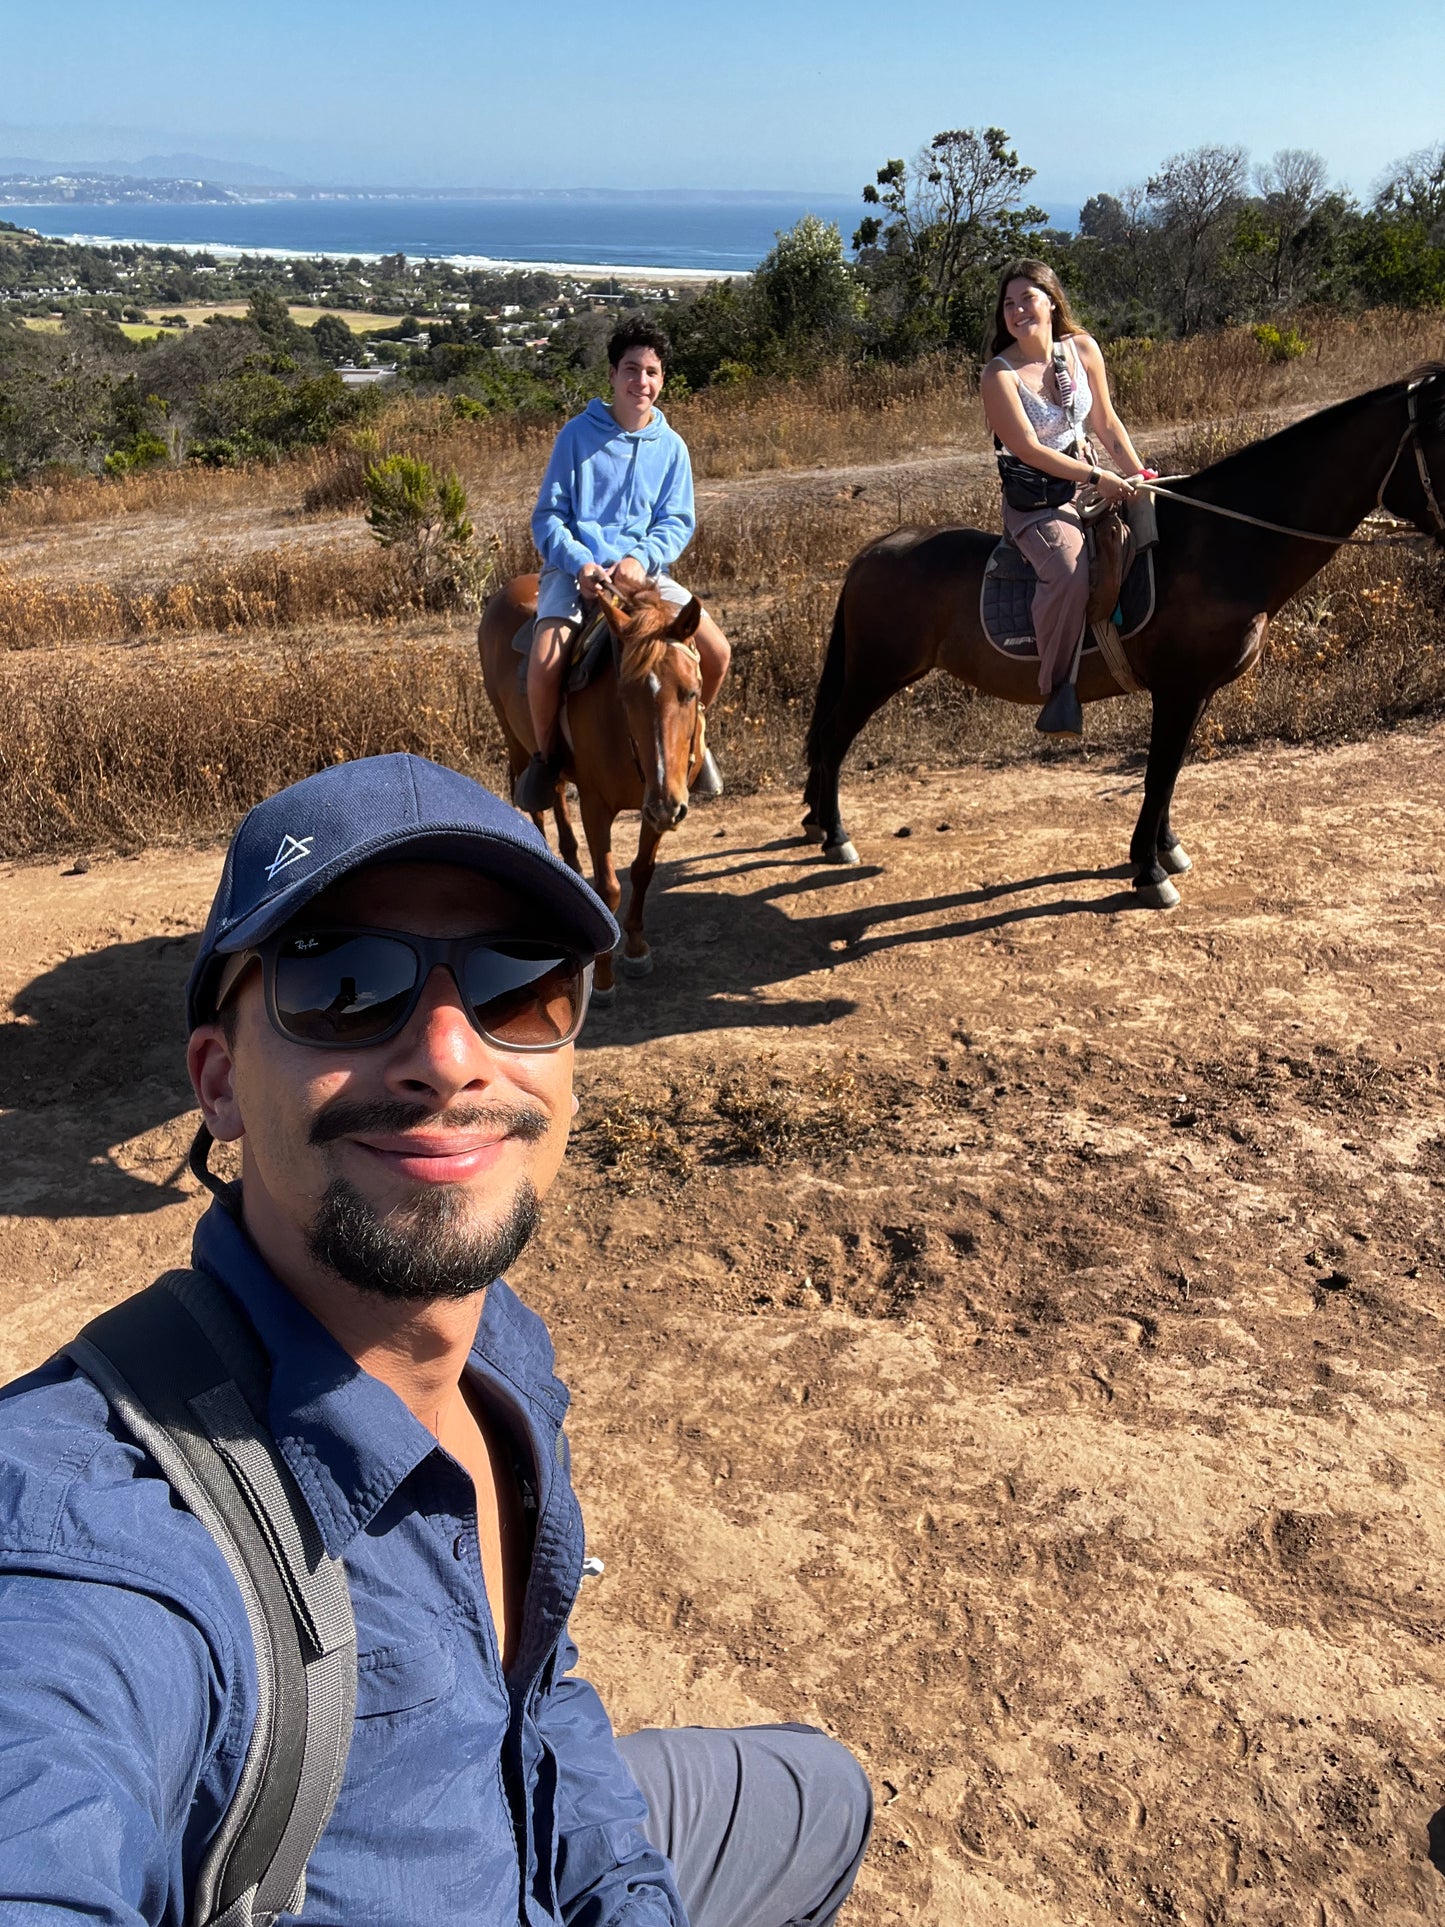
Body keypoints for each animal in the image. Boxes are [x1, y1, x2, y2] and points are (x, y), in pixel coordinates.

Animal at [481, 570, 709, 1002]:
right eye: (625, 695)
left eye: (690, 692)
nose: (667, 805)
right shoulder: (596, 805)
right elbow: (609, 889)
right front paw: (603, 980)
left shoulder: (656, 805)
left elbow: (642, 871)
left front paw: (636, 948)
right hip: (516, 743)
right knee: (536, 805)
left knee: (556, 800)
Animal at [805, 362, 1445, 901]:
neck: (1225, 543)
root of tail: (873, 552)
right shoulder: (1179, 689)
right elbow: (1159, 774)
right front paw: (1150, 870)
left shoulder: (1192, 693)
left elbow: (1170, 772)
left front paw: (1165, 848)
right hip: (875, 674)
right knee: (833, 740)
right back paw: (835, 835)